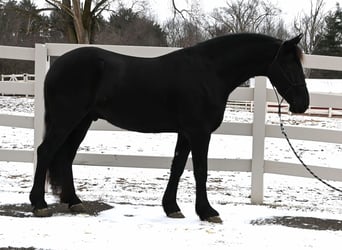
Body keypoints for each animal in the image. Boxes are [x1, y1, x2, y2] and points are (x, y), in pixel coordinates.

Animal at [29, 32, 308, 221]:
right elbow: (200, 171)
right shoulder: (199, 133)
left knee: (65, 156)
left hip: (81, 122)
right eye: (289, 64)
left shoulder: (185, 133)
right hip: (67, 120)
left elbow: (177, 167)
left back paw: (74, 202)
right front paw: (207, 212)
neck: (209, 72)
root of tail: (56, 66)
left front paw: (172, 208)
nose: (303, 104)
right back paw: (39, 203)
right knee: (46, 152)